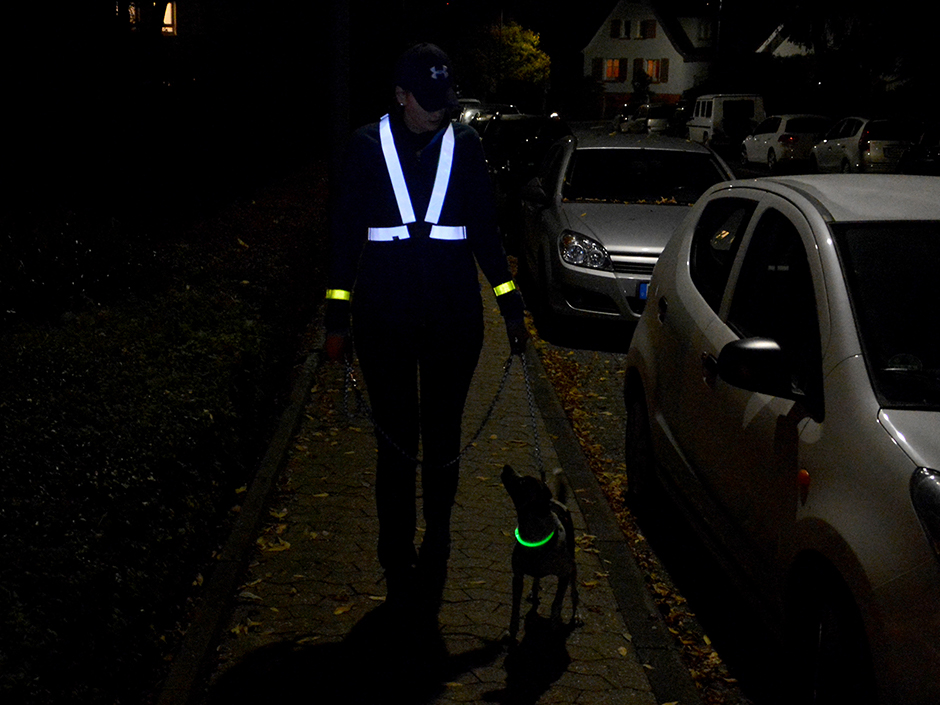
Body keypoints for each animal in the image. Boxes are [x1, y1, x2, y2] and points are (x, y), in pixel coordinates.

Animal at [500, 464, 580, 640]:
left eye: (523, 482)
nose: (506, 466)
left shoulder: (564, 574)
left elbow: (556, 604)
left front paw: (554, 627)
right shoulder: (518, 576)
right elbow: (515, 608)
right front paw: (512, 631)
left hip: (573, 566)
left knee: (574, 592)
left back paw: (577, 614)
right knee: (537, 579)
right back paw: (534, 592)